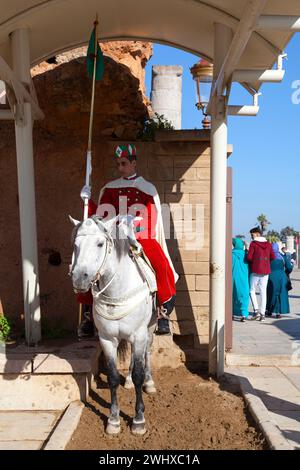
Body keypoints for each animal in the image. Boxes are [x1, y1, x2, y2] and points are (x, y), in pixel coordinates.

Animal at [69, 215, 156, 436]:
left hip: (149, 329)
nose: (79, 279)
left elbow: (139, 373)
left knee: (147, 353)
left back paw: (150, 382)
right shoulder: (107, 339)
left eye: (100, 244)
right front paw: (114, 419)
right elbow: (113, 377)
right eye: (75, 245)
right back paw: (129, 382)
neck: (117, 290)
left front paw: (138, 420)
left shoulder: (139, 334)